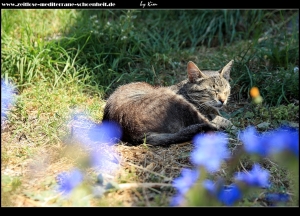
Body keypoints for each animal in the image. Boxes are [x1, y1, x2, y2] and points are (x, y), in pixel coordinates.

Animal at [102, 60, 236, 146]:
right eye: (213, 90)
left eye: (226, 90)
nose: (223, 100)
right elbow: (221, 120)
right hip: (178, 103)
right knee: (207, 124)